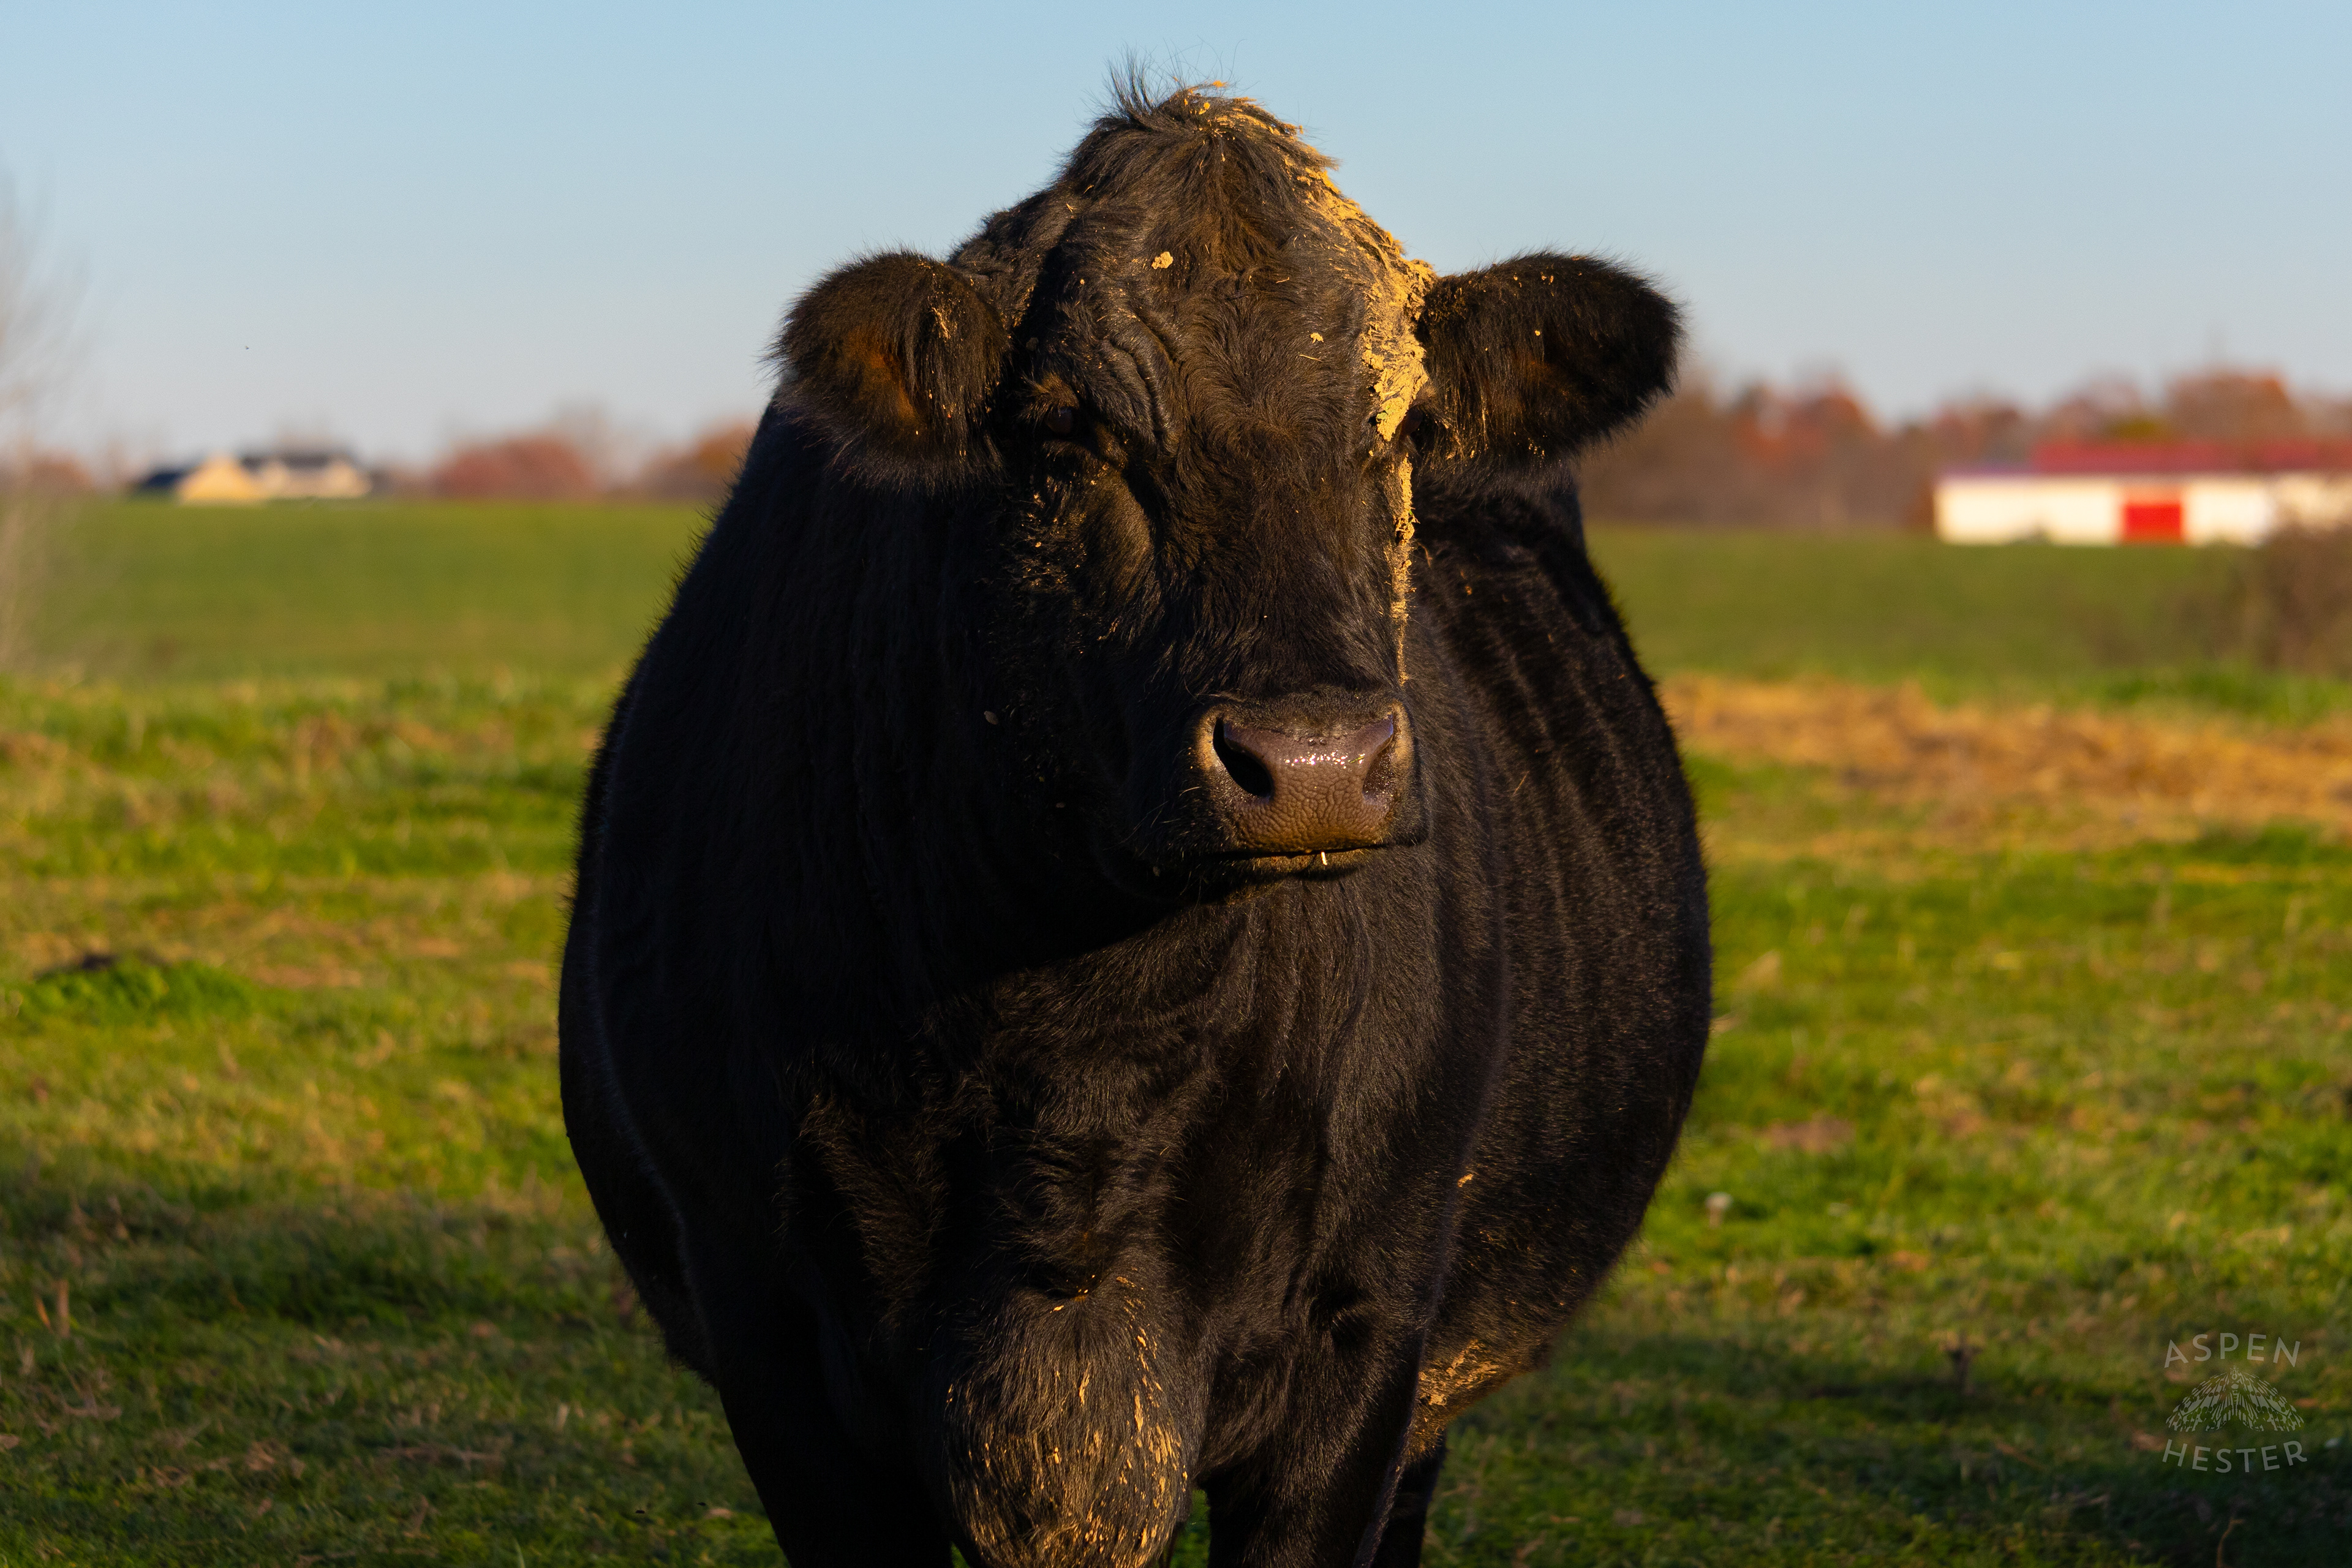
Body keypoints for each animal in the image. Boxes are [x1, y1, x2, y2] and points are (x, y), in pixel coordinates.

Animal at [560, 83, 1710, 1568]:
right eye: (1070, 433)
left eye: (1404, 431)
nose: (1318, 761)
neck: (1083, 1057)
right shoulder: (771, 1338)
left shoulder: (1364, 1341)